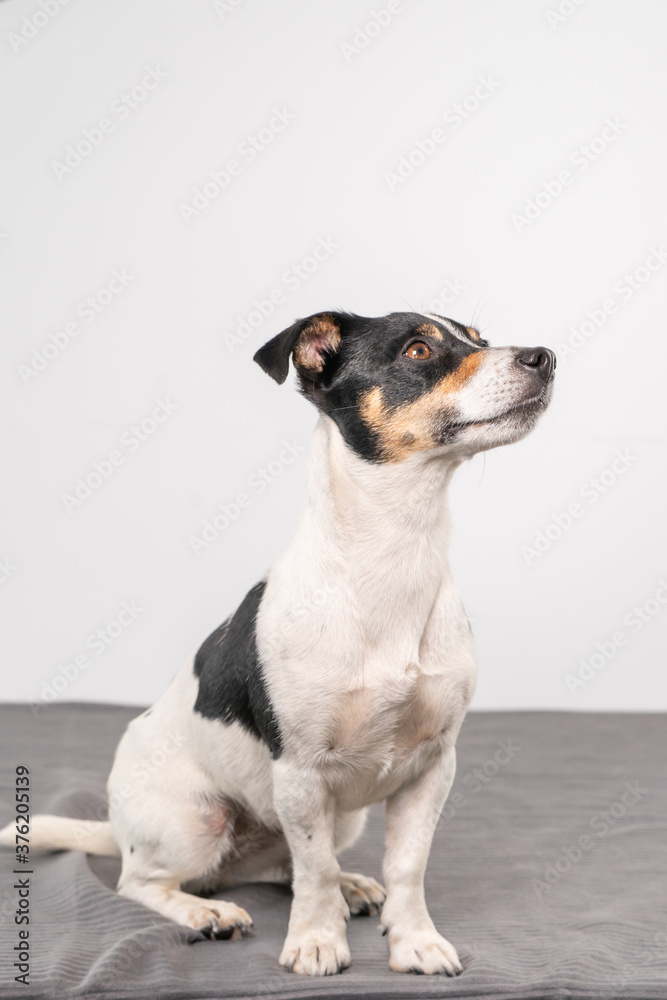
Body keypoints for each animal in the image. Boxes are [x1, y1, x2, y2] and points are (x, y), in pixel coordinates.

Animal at [1, 310, 560, 976]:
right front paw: (317, 941)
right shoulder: (300, 771)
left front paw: (414, 941)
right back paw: (208, 912)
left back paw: (348, 887)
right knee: (146, 882)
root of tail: (117, 825)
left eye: (480, 337)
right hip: (196, 819)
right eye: (419, 350)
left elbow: (405, 865)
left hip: (341, 818)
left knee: (280, 867)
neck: (395, 556)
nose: (545, 357)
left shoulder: (433, 767)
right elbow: (312, 869)